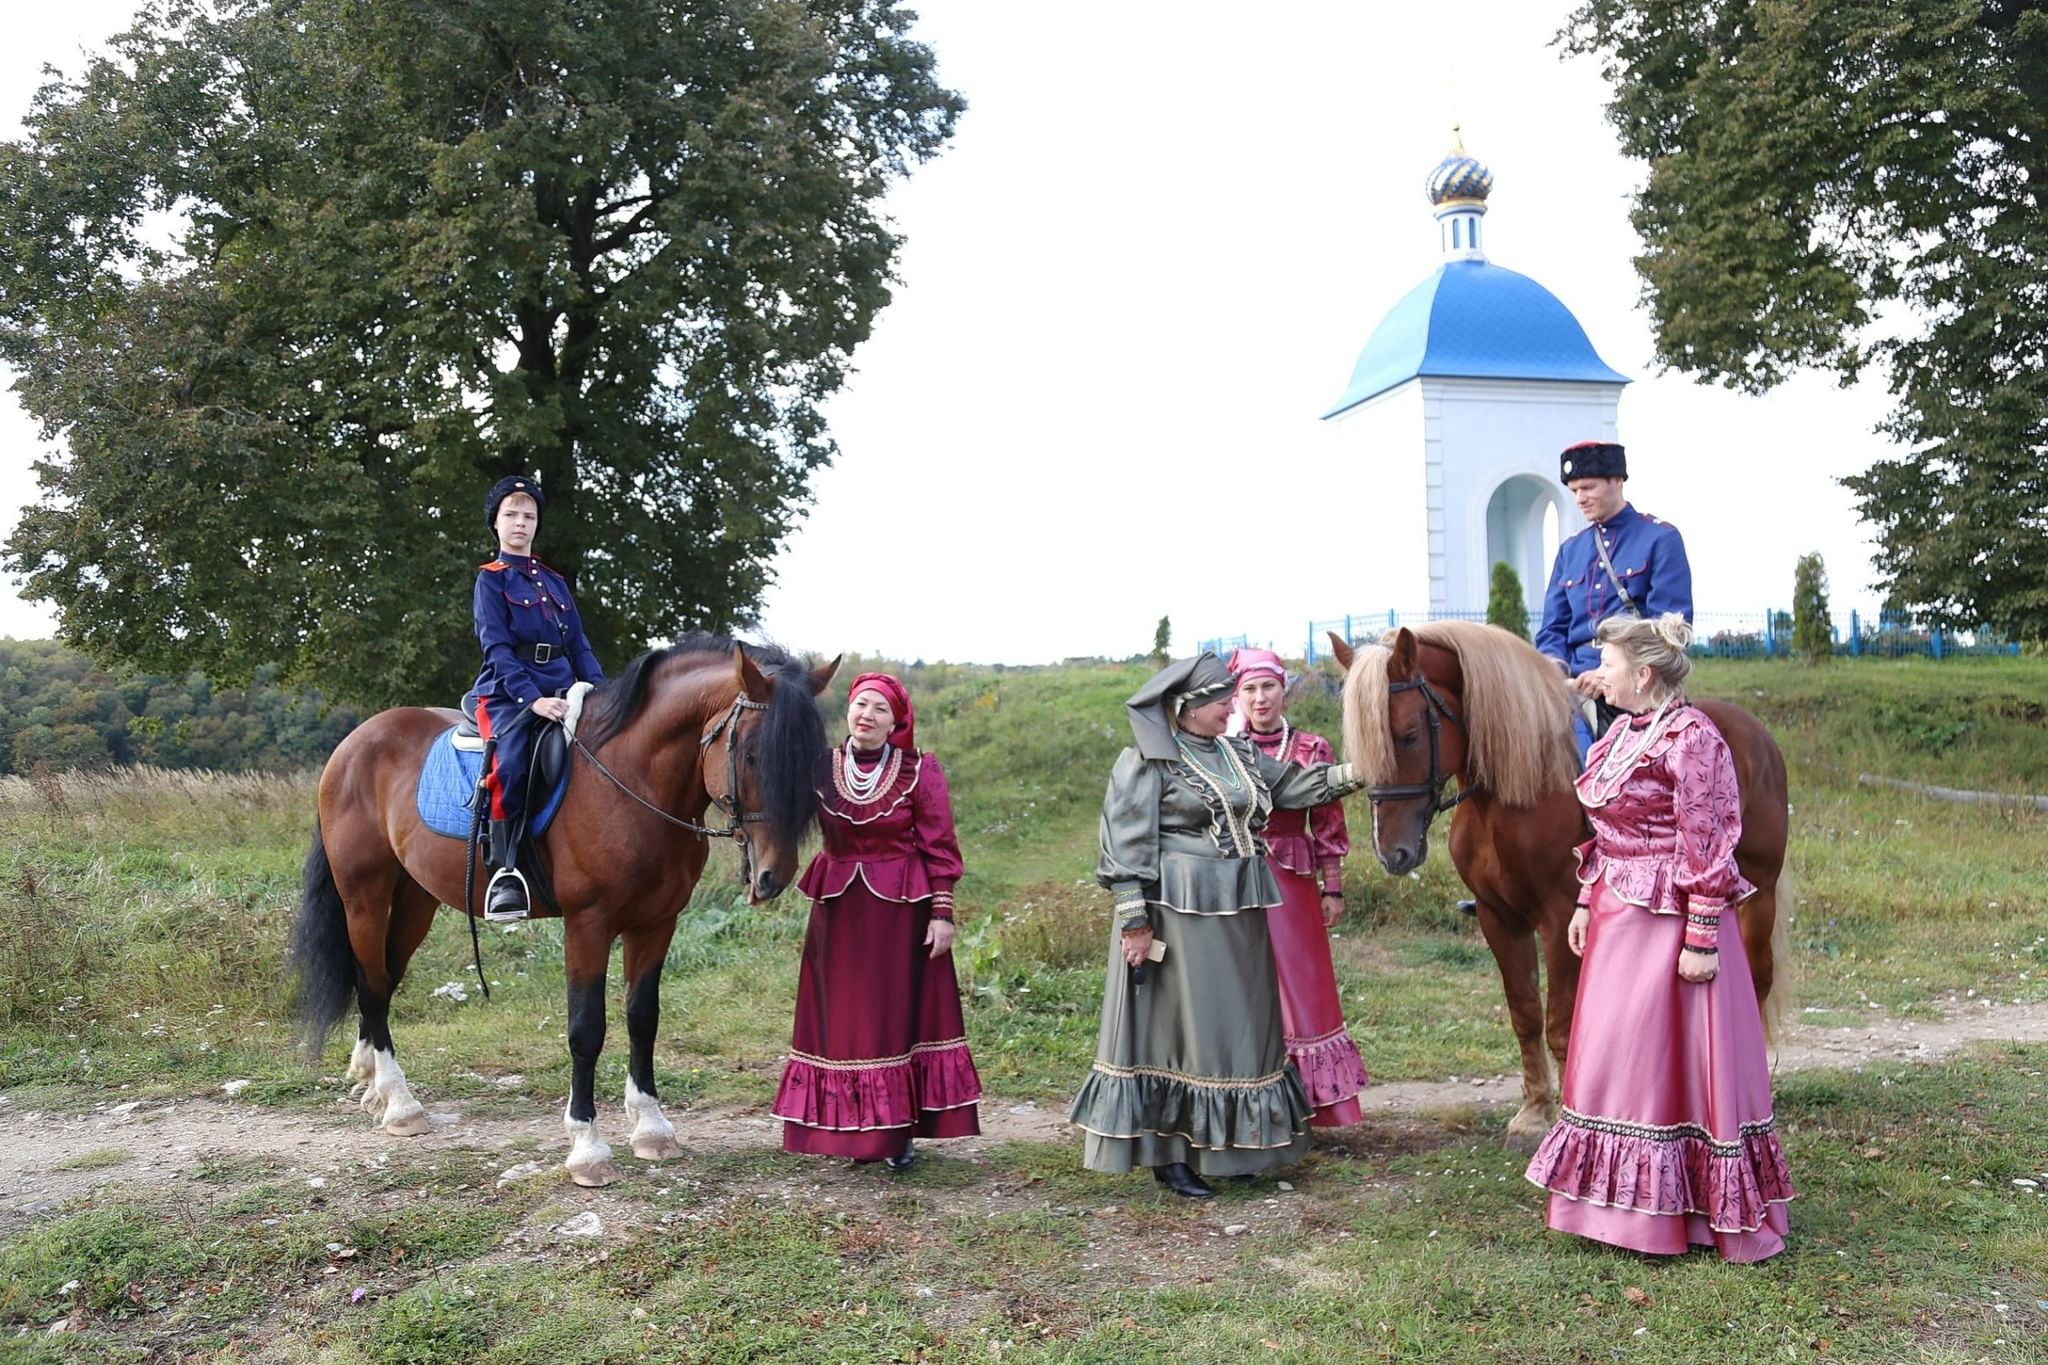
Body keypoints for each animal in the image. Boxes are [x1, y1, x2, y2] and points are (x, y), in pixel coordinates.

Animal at [284, 638, 835, 1186]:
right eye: (752, 754)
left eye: (810, 759)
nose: (773, 875)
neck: (633, 777)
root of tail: (353, 743)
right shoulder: (587, 924)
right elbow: (586, 1029)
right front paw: (588, 1148)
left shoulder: (657, 923)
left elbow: (643, 1017)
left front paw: (652, 1128)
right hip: (365, 894)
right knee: (372, 983)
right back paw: (401, 1105)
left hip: (415, 898)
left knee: (381, 978)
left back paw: (371, 1084)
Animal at [1327, 626, 1794, 1146]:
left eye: (1409, 735)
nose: (1393, 853)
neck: (1514, 791)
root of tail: (1755, 733)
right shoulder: (1498, 917)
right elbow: (1526, 1013)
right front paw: (1533, 1111)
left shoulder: (1560, 918)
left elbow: (1560, 1021)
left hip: (1759, 895)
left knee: (1757, 978)